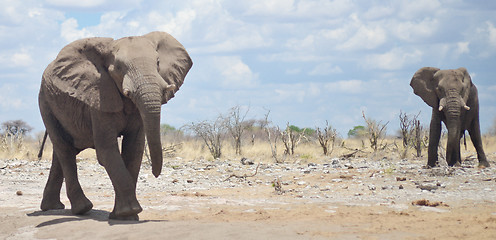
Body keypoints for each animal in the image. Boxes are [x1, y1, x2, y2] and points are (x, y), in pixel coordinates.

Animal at [38, 31, 193, 219]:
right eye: (118, 68)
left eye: (157, 63)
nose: (155, 174)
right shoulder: (99, 94)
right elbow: (106, 150)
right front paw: (128, 212)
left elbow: (134, 149)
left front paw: (127, 216)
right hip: (45, 103)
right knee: (64, 149)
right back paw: (82, 208)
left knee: (62, 152)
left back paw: (52, 207)